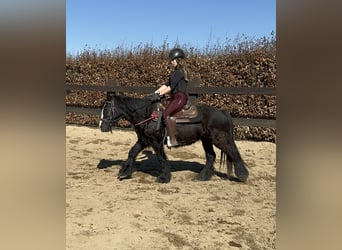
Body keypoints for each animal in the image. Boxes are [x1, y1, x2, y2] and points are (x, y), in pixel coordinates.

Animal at [99, 92, 248, 184]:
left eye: (106, 109)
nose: (102, 126)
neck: (147, 114)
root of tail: (222, 111)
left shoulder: (156, 142)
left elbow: (161, 158)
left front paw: (164, 177)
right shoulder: (144, 140)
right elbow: (132, 152)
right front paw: (124, 172)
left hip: (220, 139)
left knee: (233, 152)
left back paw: (243, 175)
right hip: (206, 140)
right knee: (211, 156)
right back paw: (203, 176)